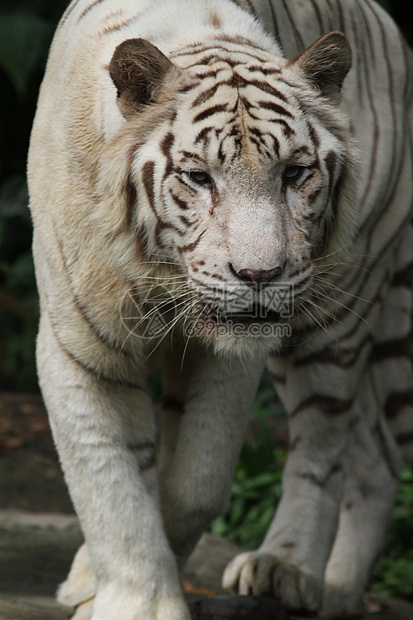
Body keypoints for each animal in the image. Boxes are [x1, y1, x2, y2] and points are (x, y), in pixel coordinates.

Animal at [29, 0, 412, 616]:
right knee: (373, 449)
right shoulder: (80, 348)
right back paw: (340, 588)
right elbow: (111, 487)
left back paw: (289, 568)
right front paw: (135, 600)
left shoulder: (230, 359)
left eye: (294, 173)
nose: (259, 275)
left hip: (336, 306)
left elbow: (194, 486)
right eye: (199, 177)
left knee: (326, 443)